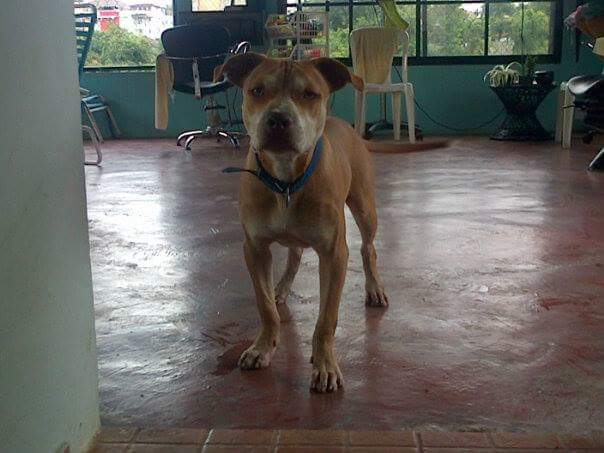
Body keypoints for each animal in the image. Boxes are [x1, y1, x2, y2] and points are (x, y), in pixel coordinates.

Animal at [216, 53, 446, 393]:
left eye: (310, 94)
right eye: (257, 90)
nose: (278, 119)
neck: (286, 181)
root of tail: (349, 129)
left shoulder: (334, 253)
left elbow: (326, 318)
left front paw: (324, 364)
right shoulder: (255, 249)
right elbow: (265, 306)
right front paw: (263, 346)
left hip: (365, 209)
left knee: (368, 249)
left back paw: (374, 289)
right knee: (295, 254)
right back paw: (282, 287)